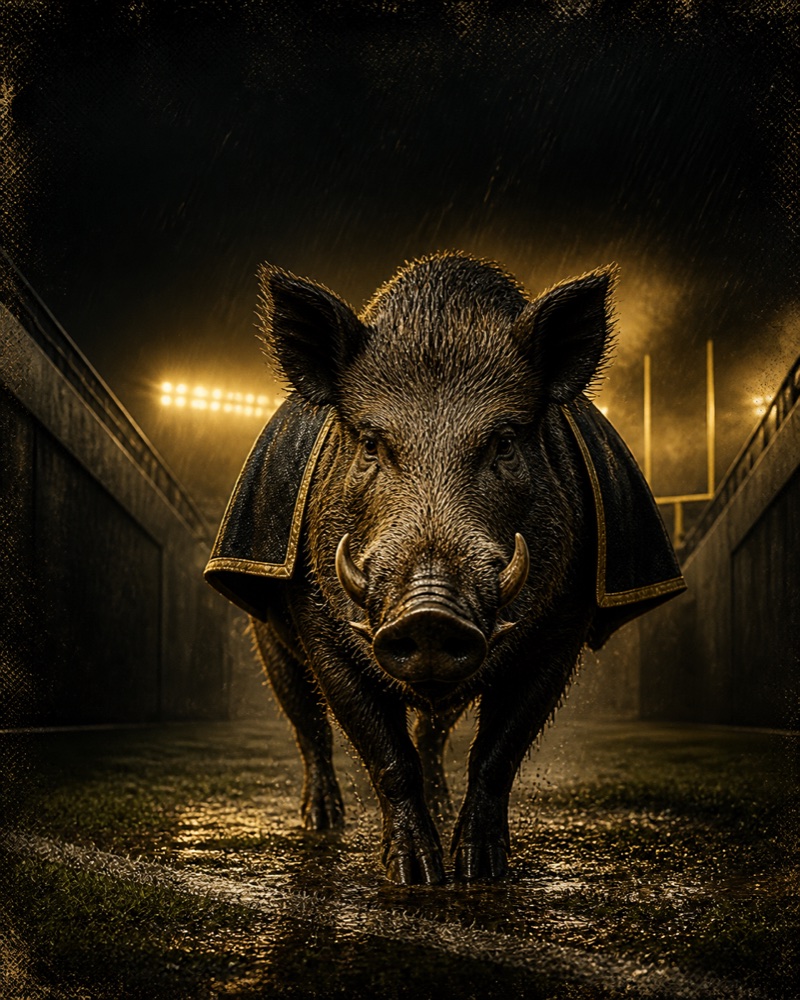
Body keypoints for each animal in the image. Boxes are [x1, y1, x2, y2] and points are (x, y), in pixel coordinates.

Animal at [205, 251, 685, 884]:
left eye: (504, 442)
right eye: (370, 444)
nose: (429, 615)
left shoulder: (562, 630)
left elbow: (497, 752)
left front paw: (481, 872)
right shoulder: (317, 622)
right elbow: (382, 750)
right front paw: (416, 877)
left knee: (431, 731)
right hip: (265, 633)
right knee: (307, 723)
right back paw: (321, 822)